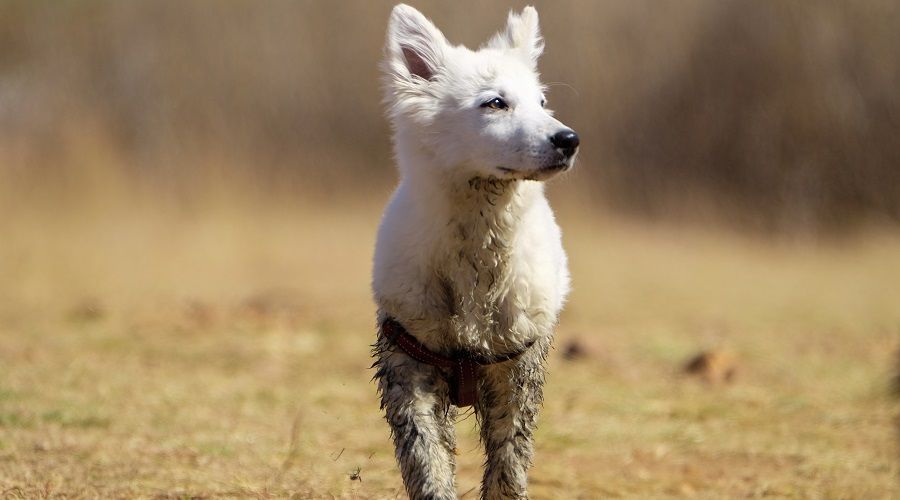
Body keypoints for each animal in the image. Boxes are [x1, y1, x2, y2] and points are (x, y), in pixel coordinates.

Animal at [370, 4, 576, 500]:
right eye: (495, 103)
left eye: (543, 103)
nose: (569, 140)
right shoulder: (409, 361)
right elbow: (427, 460)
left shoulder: (516, 369)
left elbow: (509, 462)